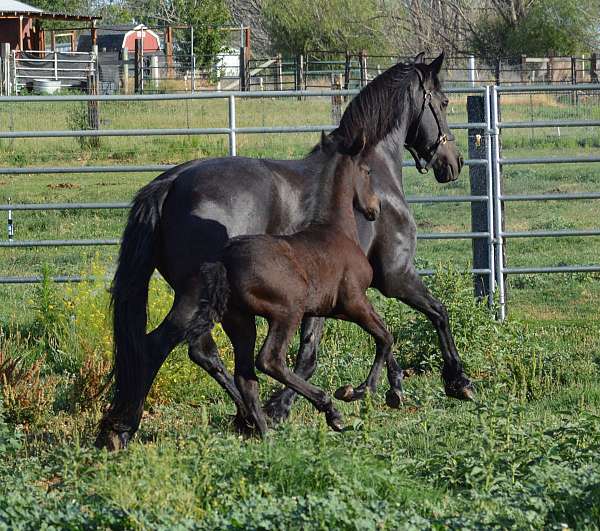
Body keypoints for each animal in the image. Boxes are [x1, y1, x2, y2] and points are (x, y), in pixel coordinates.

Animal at [97, 53, 474, 454]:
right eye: (444, 102)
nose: (453, 162)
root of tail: (169, 184)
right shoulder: (395, 275)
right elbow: (436, 314)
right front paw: (457, 382)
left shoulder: (328, 296)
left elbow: (331, 347)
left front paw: (388, 389)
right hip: (202, 296)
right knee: (162, 346)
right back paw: (124, 428)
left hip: (207, 299)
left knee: (204, 351)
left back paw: (244, 417)